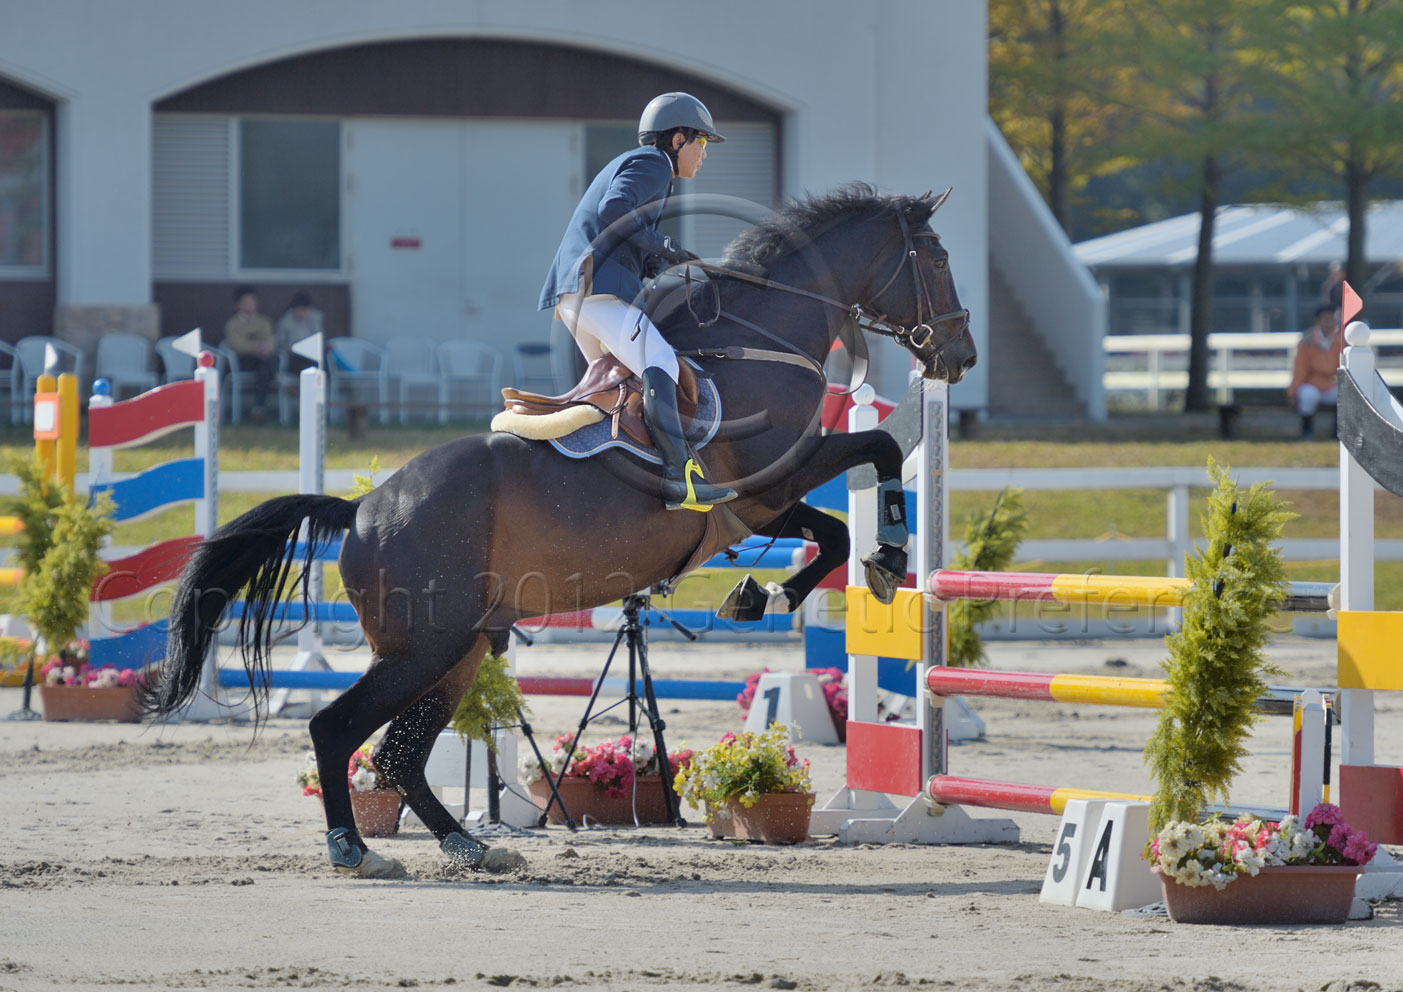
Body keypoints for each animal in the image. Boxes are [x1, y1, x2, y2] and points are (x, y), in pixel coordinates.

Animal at [145, 183, 976, 875]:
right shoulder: (780, 474)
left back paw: (470, 845)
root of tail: (364, 512)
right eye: (936, 259)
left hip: (456, 650)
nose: (960, 356)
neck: (762, 337)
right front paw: (885, 553)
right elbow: (876, 453)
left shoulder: (764, 500)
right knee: (337, 730)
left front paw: (760, 593)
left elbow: (829, 531)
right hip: (425, 647)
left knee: (399, 755)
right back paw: (355, 847)